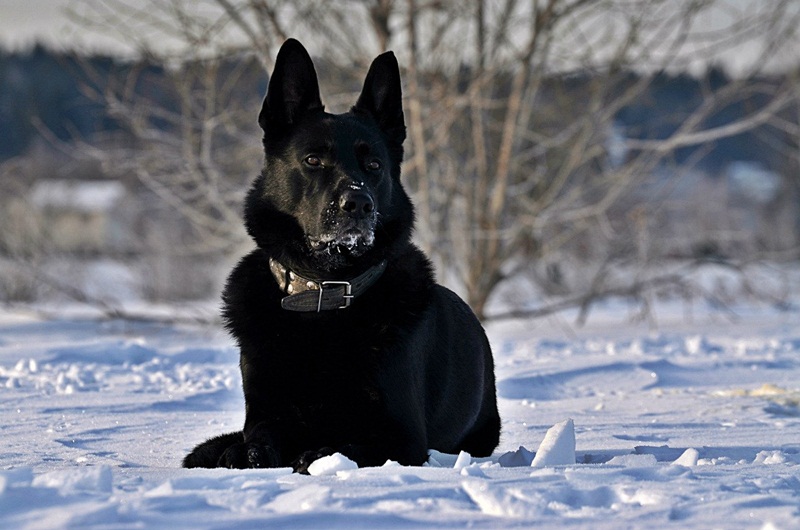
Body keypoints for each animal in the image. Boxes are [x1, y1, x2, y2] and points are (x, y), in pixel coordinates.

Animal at [186, 39, 500, 472]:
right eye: (313, 160)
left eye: (374, 165)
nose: (359, 204)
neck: (324, 293)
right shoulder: (267, 415)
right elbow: (257, 440)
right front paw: (243, 454)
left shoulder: (403, 439)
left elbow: (352, 445)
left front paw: (318, 455)